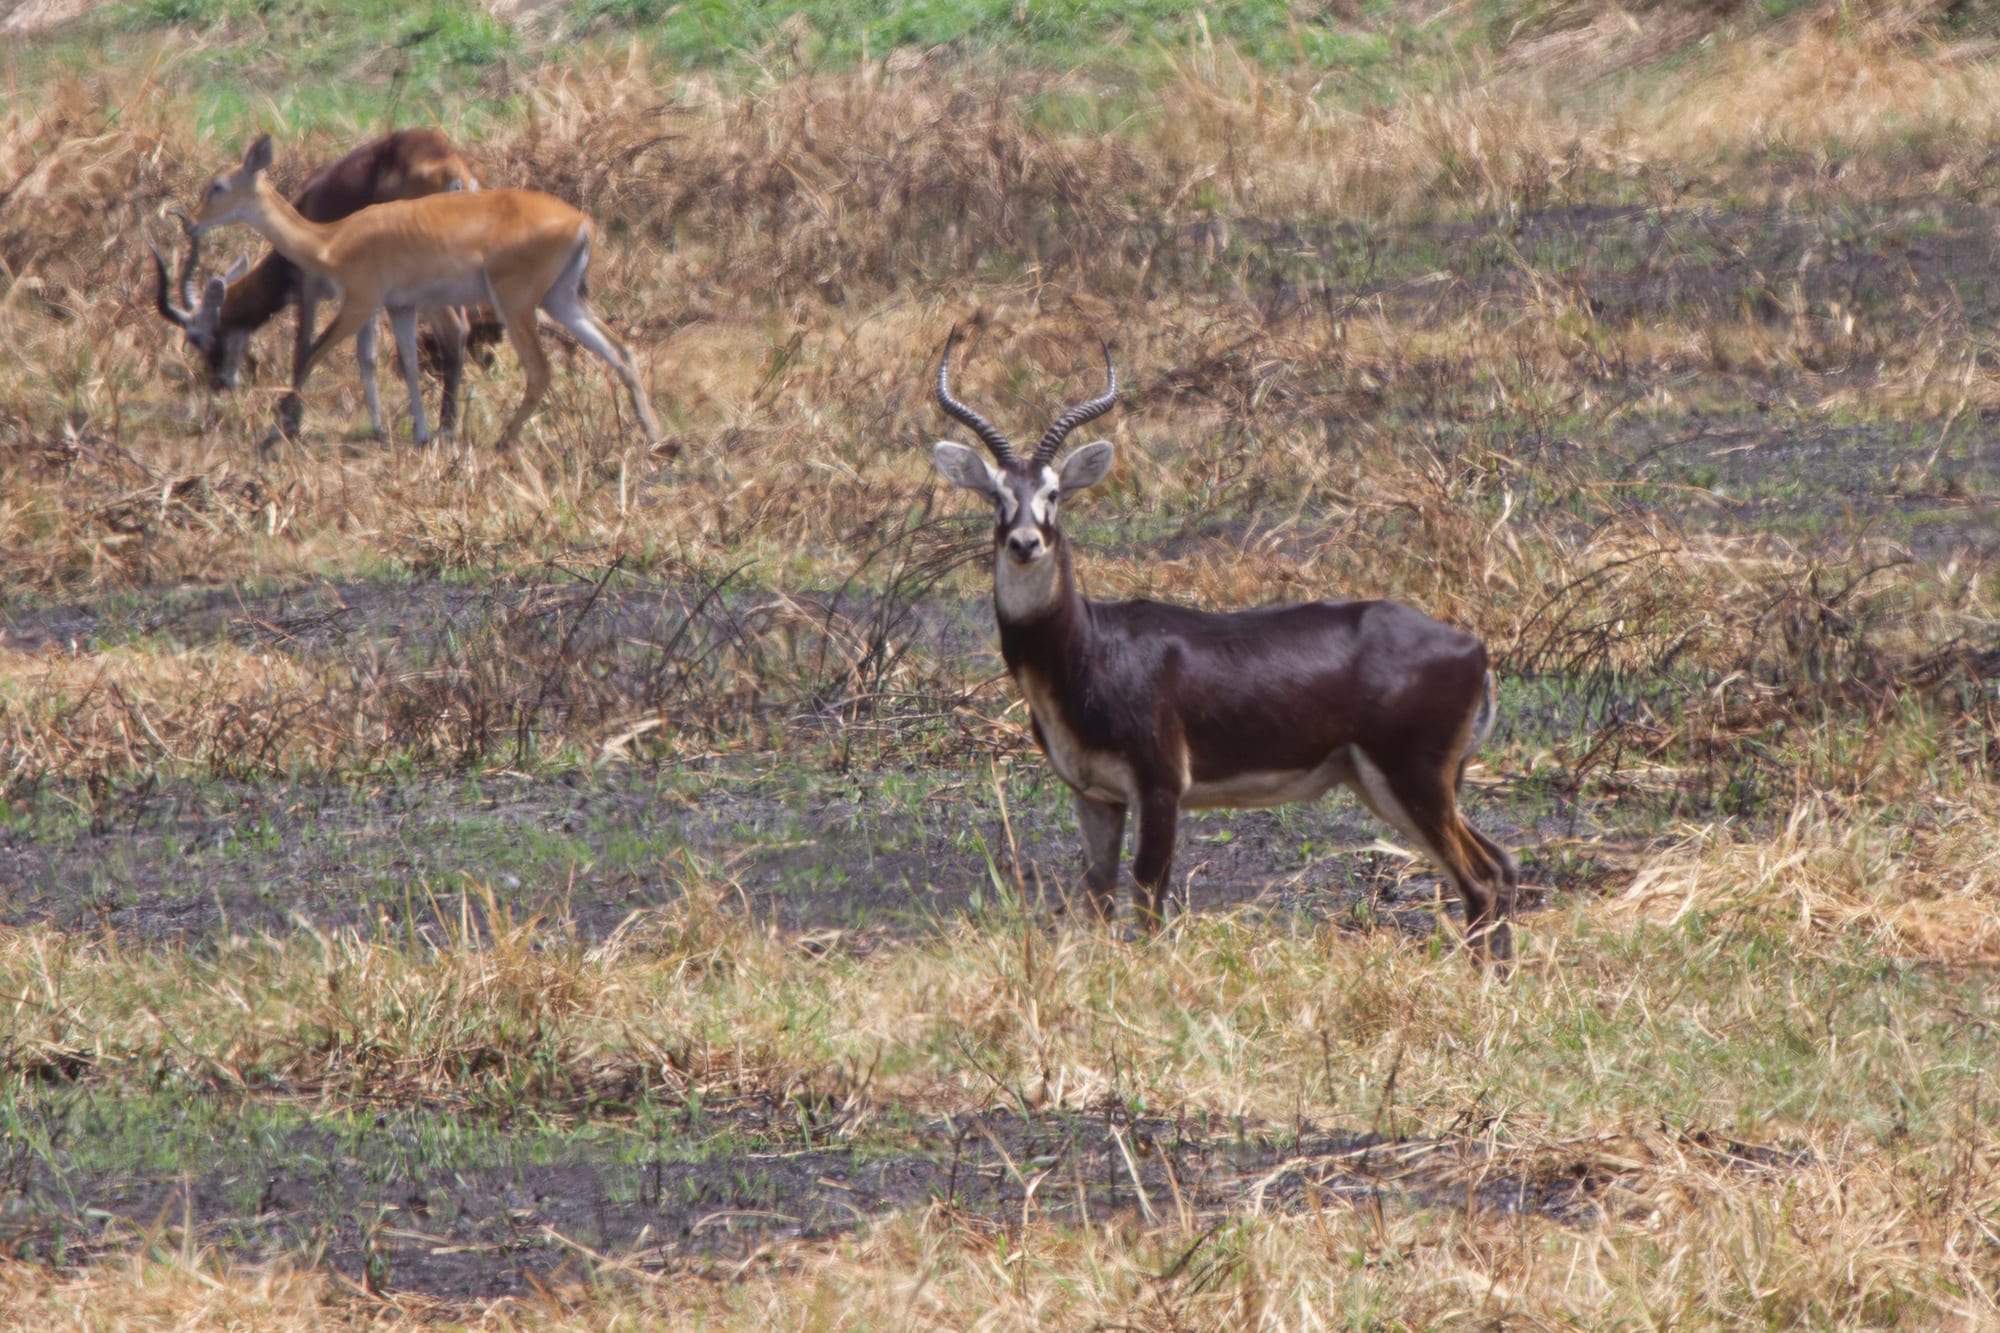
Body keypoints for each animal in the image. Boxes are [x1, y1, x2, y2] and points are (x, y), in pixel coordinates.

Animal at [152, 128, 483, 447]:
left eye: (195, 335)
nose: (220, 383)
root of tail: (453, 172)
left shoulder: (311, 287)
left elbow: (303, 350)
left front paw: (288, 427)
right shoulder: (374, 299)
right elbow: (368, 356)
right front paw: (377, 429)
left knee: (454, 330)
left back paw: (446, 431)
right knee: (460, 330)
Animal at [186, 135, 662, 450]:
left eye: (218, 185)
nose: (190, 221)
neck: (330, 238)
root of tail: (580, 221)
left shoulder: (357, 304)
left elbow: (309, 354)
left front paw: (276, 431)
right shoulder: (400, 307)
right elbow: (409, 367)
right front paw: (419, 434)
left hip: (517, 305)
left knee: (539, 370)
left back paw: (501, 441)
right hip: (562, 300)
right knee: (620, 351)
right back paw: (655, 436)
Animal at [930, 335, 1519, 968]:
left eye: (1054, 493)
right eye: (997, 495)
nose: (1024, 543)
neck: (1088, 651)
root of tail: (1474, 648)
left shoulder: (1161, 786)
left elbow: (1147, 899)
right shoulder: (1094, 795)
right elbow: (1097, 900)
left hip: (1414, 779)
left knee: (1480, 879)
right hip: (1394, 784)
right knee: (1503, 866)